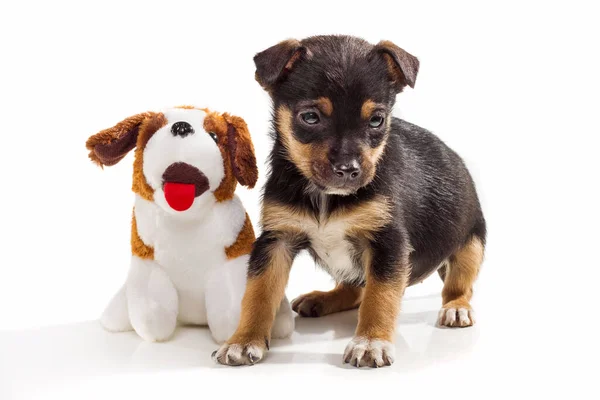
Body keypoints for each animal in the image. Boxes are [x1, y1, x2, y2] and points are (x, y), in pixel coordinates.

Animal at [213, 36, 486, 368]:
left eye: (377, 120)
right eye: (310, 117)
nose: (347, 169)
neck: (326, 196)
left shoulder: (387, 243)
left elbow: (380, 297)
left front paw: (370, 342)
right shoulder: (276, 239)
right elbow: (258, 294)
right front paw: (243, 340)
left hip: (471, 244)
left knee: (458, 285)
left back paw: (457, 308)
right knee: (355, 288)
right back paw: (323, 298)